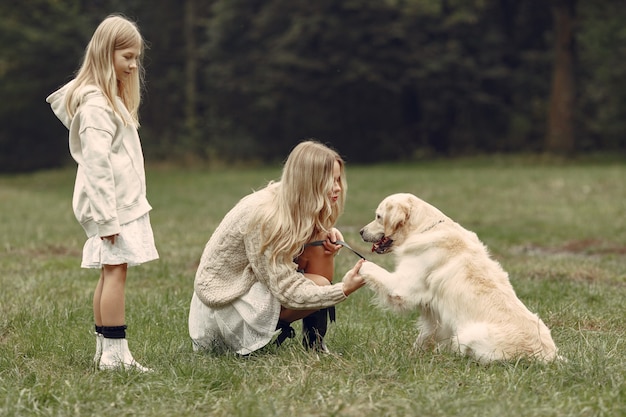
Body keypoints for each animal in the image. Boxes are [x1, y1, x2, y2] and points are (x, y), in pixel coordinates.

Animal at [358, 193, 560, 362]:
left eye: (378, 216)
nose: (360, 231)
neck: (424, 229)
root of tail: (548, 357)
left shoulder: (401, 287)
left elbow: (371, 267)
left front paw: (359, 267)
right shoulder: (435, 316)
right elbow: (424, 336)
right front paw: (414, 354)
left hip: (467, 335)